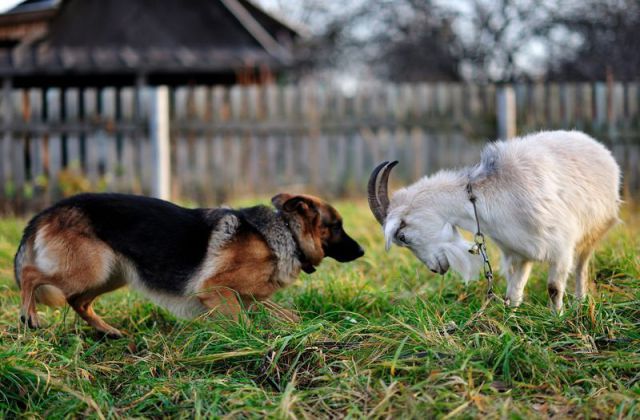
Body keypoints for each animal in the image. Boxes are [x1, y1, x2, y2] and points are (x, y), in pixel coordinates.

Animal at [15, 194, 362, 338]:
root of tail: (49, 210)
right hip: (91, 268)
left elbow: (289, 315)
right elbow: (244, 324)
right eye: (336, 226)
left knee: (78, 301)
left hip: (111, 274)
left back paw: (108, 330)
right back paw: (29, 316)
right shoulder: (217, 290)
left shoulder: (250, 299)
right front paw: (249, 344)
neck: (285, 233)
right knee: (31, 275)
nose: (361, 251)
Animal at [368, 130, 624, 310]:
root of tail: (599, 148)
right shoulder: (517, 250)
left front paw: (557, 319)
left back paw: (580, 303)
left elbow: (553, 288)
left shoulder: (560, 246)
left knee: (581, 266)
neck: (483, 195)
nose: (435, 269)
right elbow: (514, 292)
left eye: (403, 236)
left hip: (594, 231)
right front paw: (511, 321)